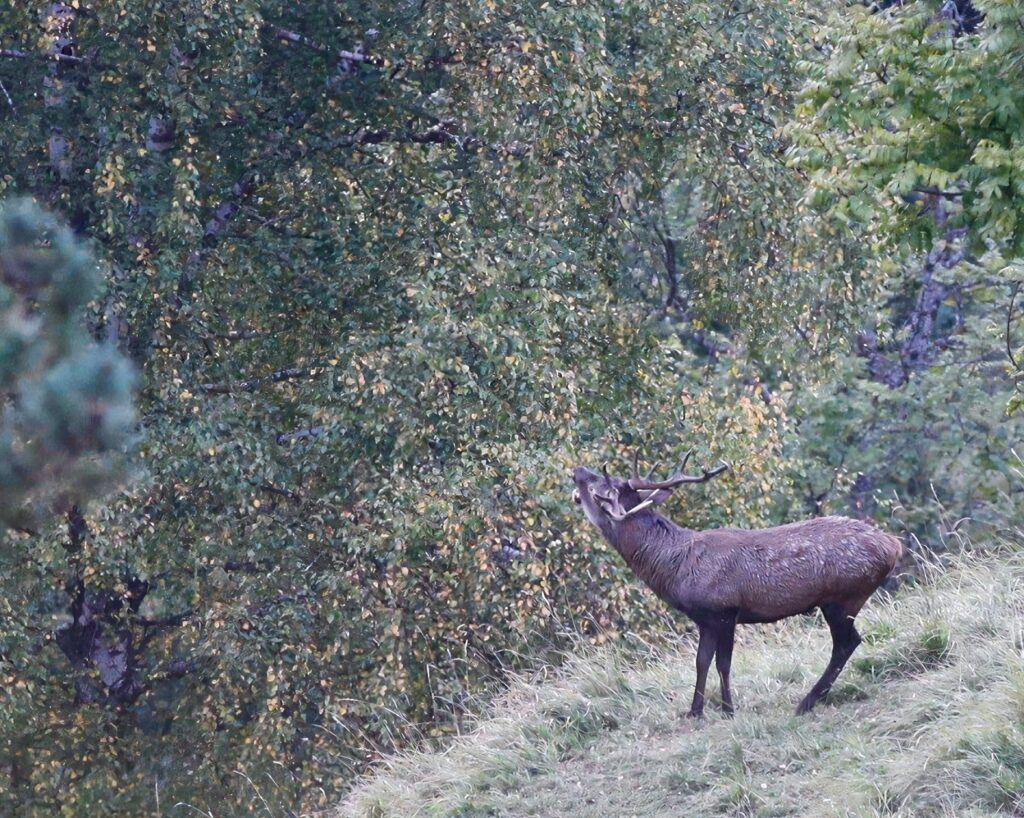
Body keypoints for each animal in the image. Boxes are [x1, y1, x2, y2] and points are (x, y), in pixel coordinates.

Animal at [572, 453, 902, 717]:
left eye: (601, 485)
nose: (577, 470)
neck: (675, 568)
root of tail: (893, 546)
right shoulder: (703, 619)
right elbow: (701, 661)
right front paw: (694, 711)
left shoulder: (725, 609)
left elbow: (723, 663)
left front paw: (728, 709)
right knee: (848, 643)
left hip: (843, 596)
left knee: (846, 643)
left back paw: (807, 702)